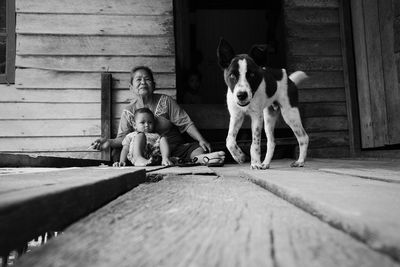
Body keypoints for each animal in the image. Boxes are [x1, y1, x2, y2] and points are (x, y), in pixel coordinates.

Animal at [219, 38, 310, 170]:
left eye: (252, 75)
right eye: (232, 75)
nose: (242, 95)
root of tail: (289, 79)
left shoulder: (257, 117)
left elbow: (255, 143)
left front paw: (255, 163)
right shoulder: (236, 116)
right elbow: (229, 140)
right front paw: (239, 156)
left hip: (290, 114)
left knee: (303, 137)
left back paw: (300, 161)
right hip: (269, 118)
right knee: (272, 142)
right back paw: (265, 163)